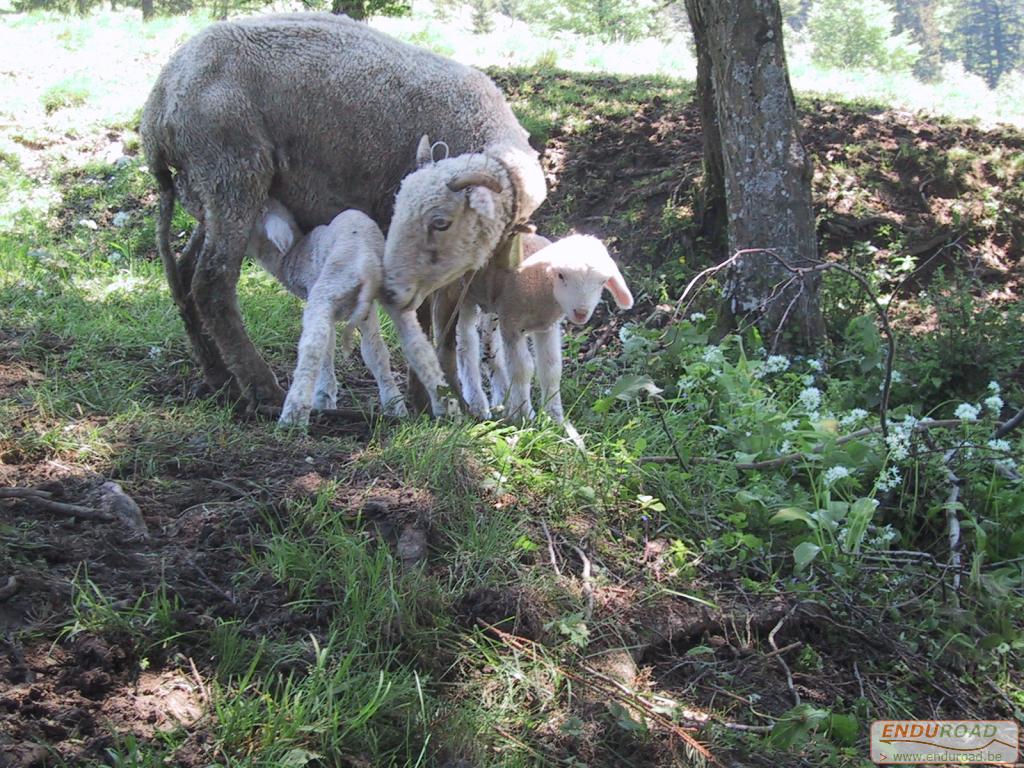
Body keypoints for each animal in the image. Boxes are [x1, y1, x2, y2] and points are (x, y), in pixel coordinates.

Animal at [248, 199, 432, 428]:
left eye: (258, 213)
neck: (294, 256)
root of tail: (368, 262)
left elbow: (328, 348)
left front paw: (325, 399)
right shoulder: (367, 311)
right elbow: (375, 352)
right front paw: (394, 405)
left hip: (329, 286)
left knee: (313, 346)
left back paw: (293, 415)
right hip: (392, 291)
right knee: (417, 346)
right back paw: (439, 404)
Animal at [456, 234, 630, 428]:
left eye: (602, 282)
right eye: (560, 275)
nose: (581, 313)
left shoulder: (547, 326)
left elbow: (551, 369)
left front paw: (555, 418)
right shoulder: (512, 323)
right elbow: (522, 369)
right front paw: (524, 415)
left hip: (491, 305)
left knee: (489, 347)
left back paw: (502, 400)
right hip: (461, 295)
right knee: (466, 345)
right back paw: (476, 404)